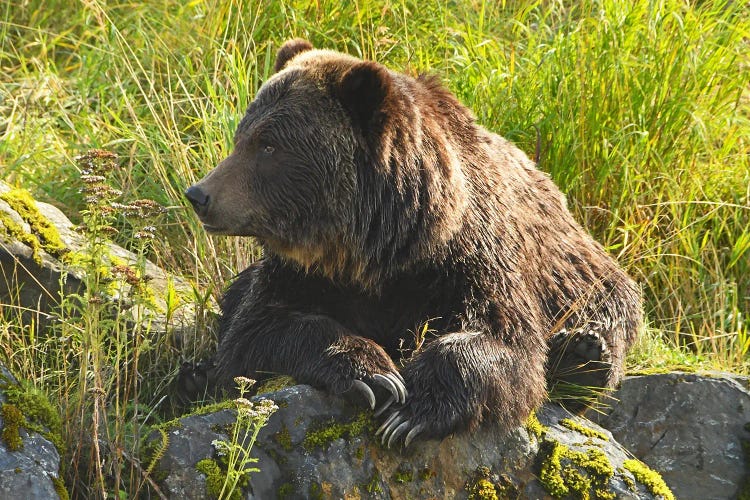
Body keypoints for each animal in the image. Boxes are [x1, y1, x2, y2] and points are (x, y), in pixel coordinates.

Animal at [183, 39, 642, 447]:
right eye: (243, 136)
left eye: (268, 144)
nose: (200, 195)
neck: (378, 248)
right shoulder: (302, 272)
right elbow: (253, 334)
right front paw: (373, 375)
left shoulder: (470, 258)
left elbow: (503, 336)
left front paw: (412, 410)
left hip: (580, 269)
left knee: (611, 306)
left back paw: (584, 351)